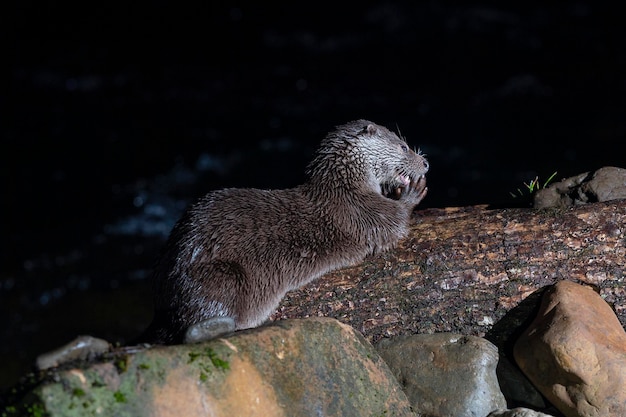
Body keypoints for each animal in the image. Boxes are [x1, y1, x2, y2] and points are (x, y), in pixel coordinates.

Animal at [139, 118, 426, 342]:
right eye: (403, 146)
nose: (425, 164)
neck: (344, 186)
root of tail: (161, 298)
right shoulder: (360, 211)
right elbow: (395, 223)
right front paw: (411, 193)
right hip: (224, 277)